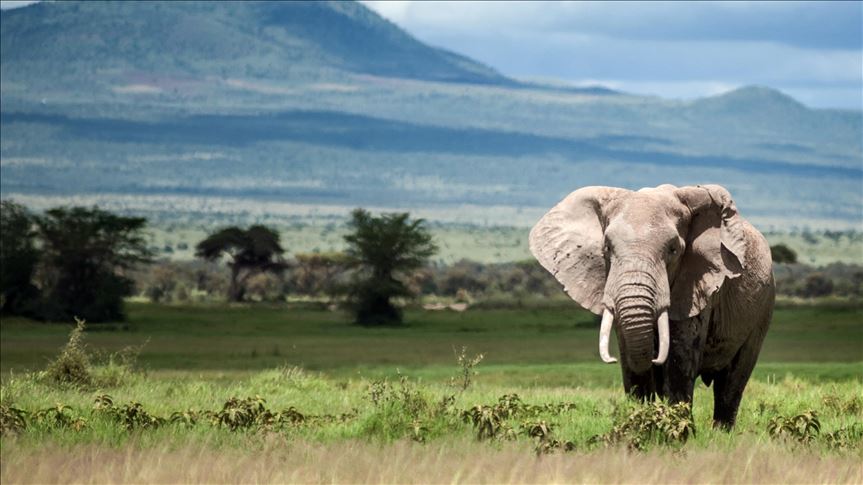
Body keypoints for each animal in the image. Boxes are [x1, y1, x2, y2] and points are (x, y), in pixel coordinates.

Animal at [529, 184, 774, 429]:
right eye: (607, 248)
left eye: (673, 250)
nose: (655, 358)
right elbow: (632, 364)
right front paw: (641, 426)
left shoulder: (696, 285)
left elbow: (679, 360)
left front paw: (679, 432)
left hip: (763, 307)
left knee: (732, 381)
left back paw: (721, 432)